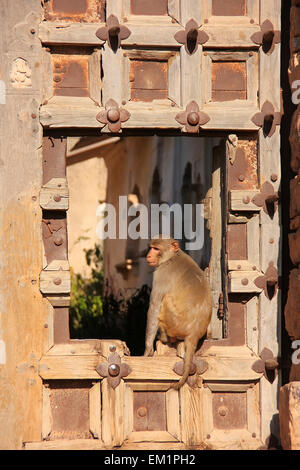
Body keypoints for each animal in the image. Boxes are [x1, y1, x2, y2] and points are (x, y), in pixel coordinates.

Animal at [144, 235, 212, 390]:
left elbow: (154, 307)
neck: (172, 256)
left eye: (156, 248)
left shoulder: (161, 274)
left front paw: (147, 349)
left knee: (165, 300)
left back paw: (165, 338)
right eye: (151, 247)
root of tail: (193, 333)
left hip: (173, 323)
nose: (149, 255)